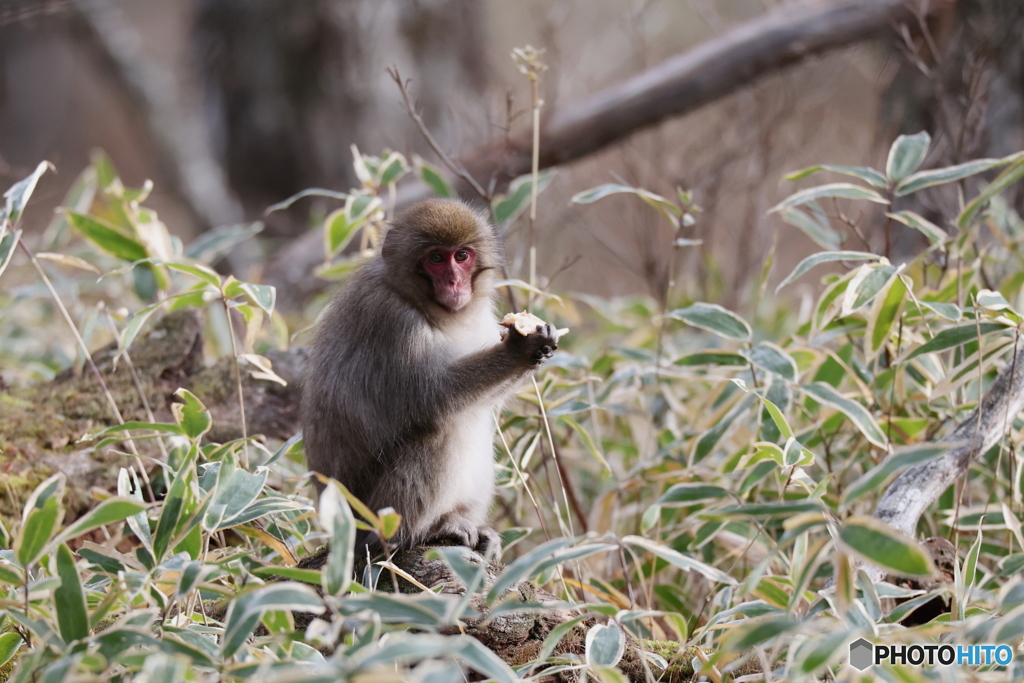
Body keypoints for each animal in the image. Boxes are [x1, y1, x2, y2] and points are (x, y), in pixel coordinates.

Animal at [301, 196, 561, 557]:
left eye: (462, 256)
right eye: (436, 259)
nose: (453, 282)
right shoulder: (394, 323)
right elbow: (432, 399)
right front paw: (519, 351)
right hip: (373, 516)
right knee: (440, 432)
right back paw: (424, 531)